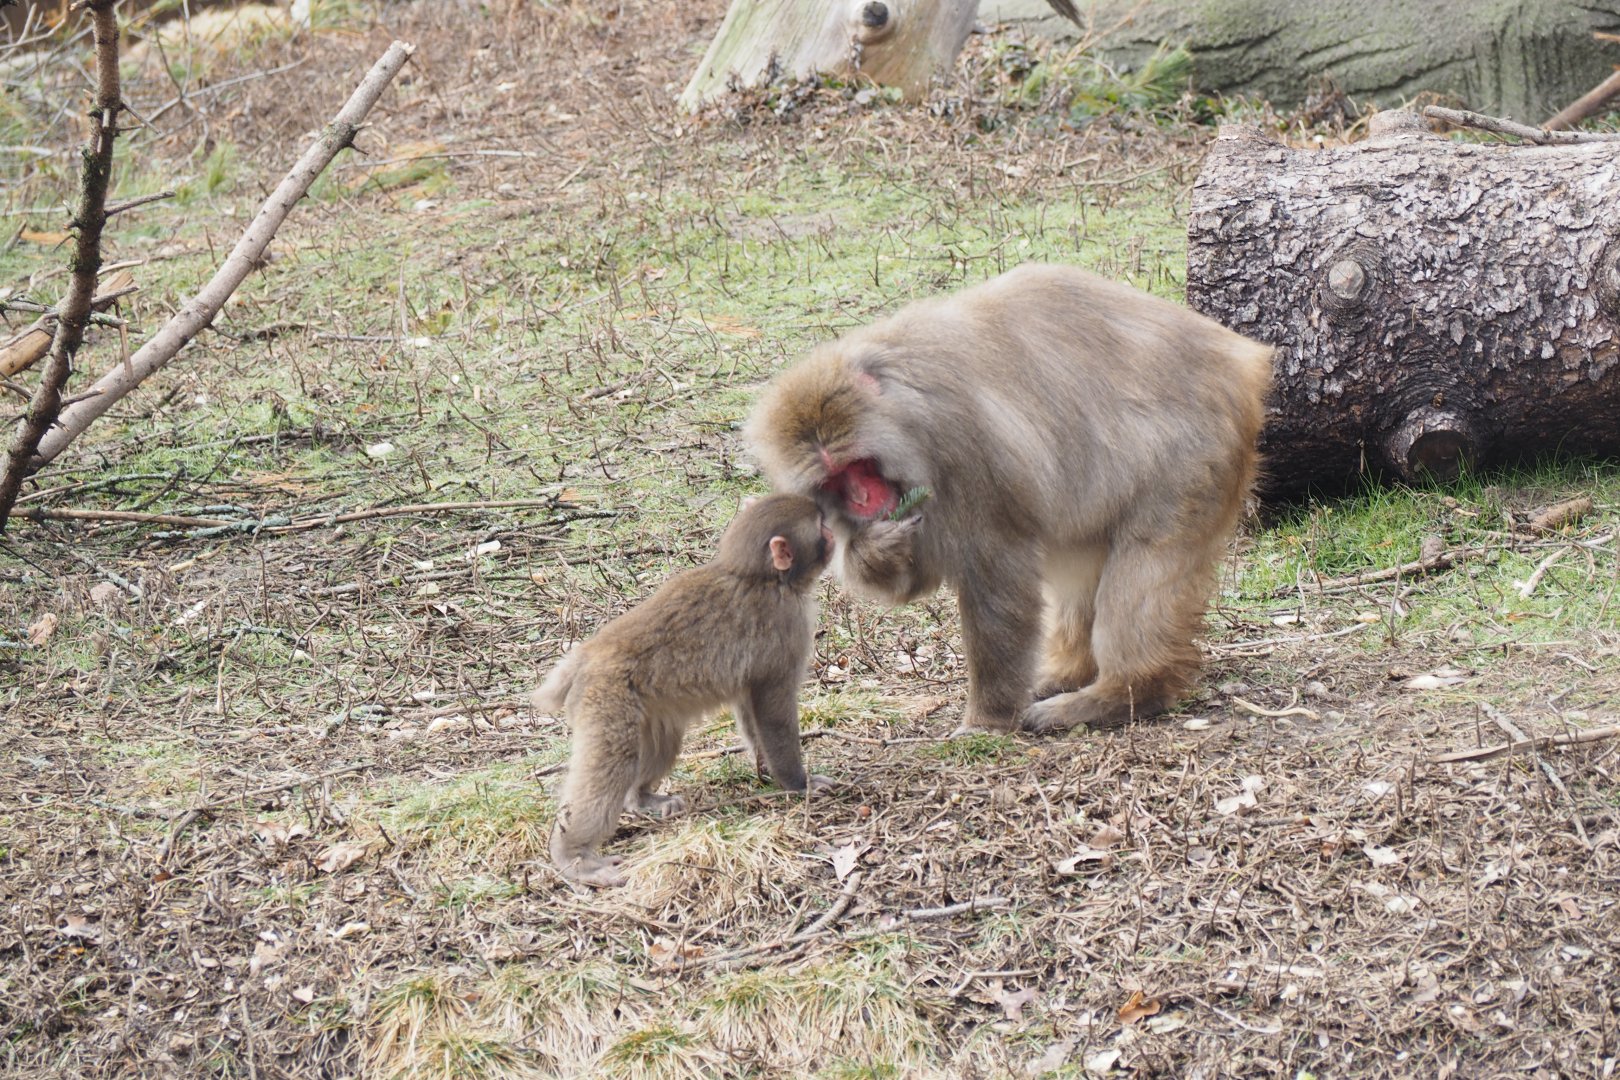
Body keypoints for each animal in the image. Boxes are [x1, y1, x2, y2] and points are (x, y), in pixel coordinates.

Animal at [533, 493, 835, 888]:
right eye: (822, 527)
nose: (836, 533)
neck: (761, 577)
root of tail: (586, 656)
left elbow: (750, 706)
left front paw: (766, 772)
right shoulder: (785, 628)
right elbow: (773, 710)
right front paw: (797, 783)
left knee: (663, 744)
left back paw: (640, 799)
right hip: (607, 701)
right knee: (611, 763)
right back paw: (574, 856)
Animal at [744, 263, 1273, 735]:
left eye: (858, 465)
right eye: (834, 481)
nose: (861, 500)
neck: (905, 406)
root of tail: (1241, 362)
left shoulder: (967, 448)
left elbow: (995, 574)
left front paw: (988, 719)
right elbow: (913, 576)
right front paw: (874, 548)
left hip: (1193, 457)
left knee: (1149, 560)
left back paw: (1124, 691)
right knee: (1080, 556)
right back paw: (1068, 671)